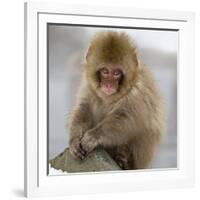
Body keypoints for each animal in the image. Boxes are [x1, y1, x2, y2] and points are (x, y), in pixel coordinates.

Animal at [68, 30, 165, 169]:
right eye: (105, 71)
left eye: (116, 73)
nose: (109, 85)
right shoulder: (88, 87)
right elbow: (84, 109)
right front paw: (74, 140)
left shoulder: (137, 92)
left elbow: (127, 119)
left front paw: (93, 136)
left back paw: (124, 160)